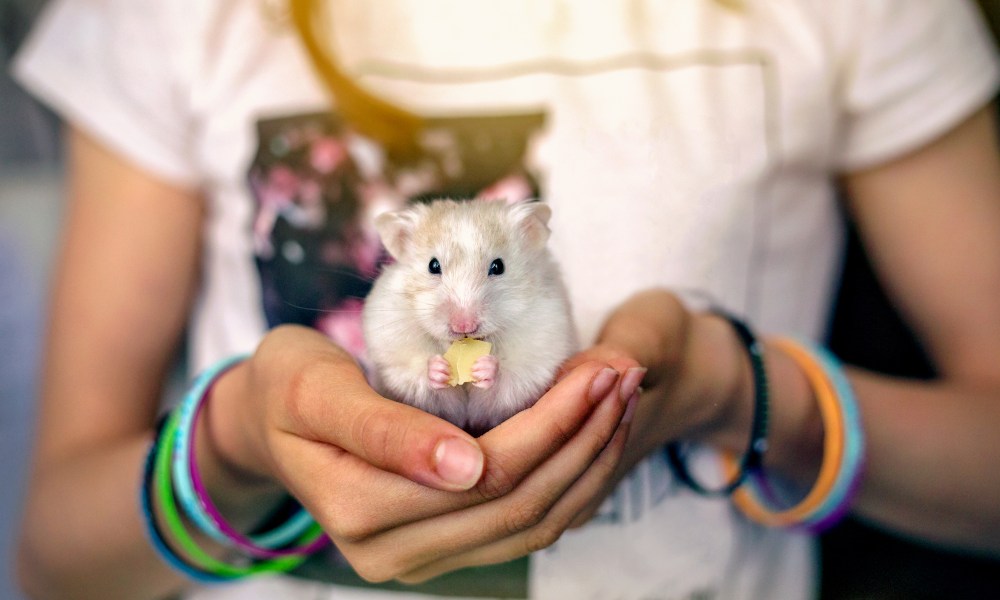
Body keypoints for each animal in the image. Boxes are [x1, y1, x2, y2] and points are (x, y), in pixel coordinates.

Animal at [364, 198, 576, 436]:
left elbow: (507, 380)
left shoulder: (537, 358)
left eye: (498, 266)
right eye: (433, 265)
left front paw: (485, 367)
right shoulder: (395, 360)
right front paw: (438, 368)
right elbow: (420, 379)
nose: (464, 326)